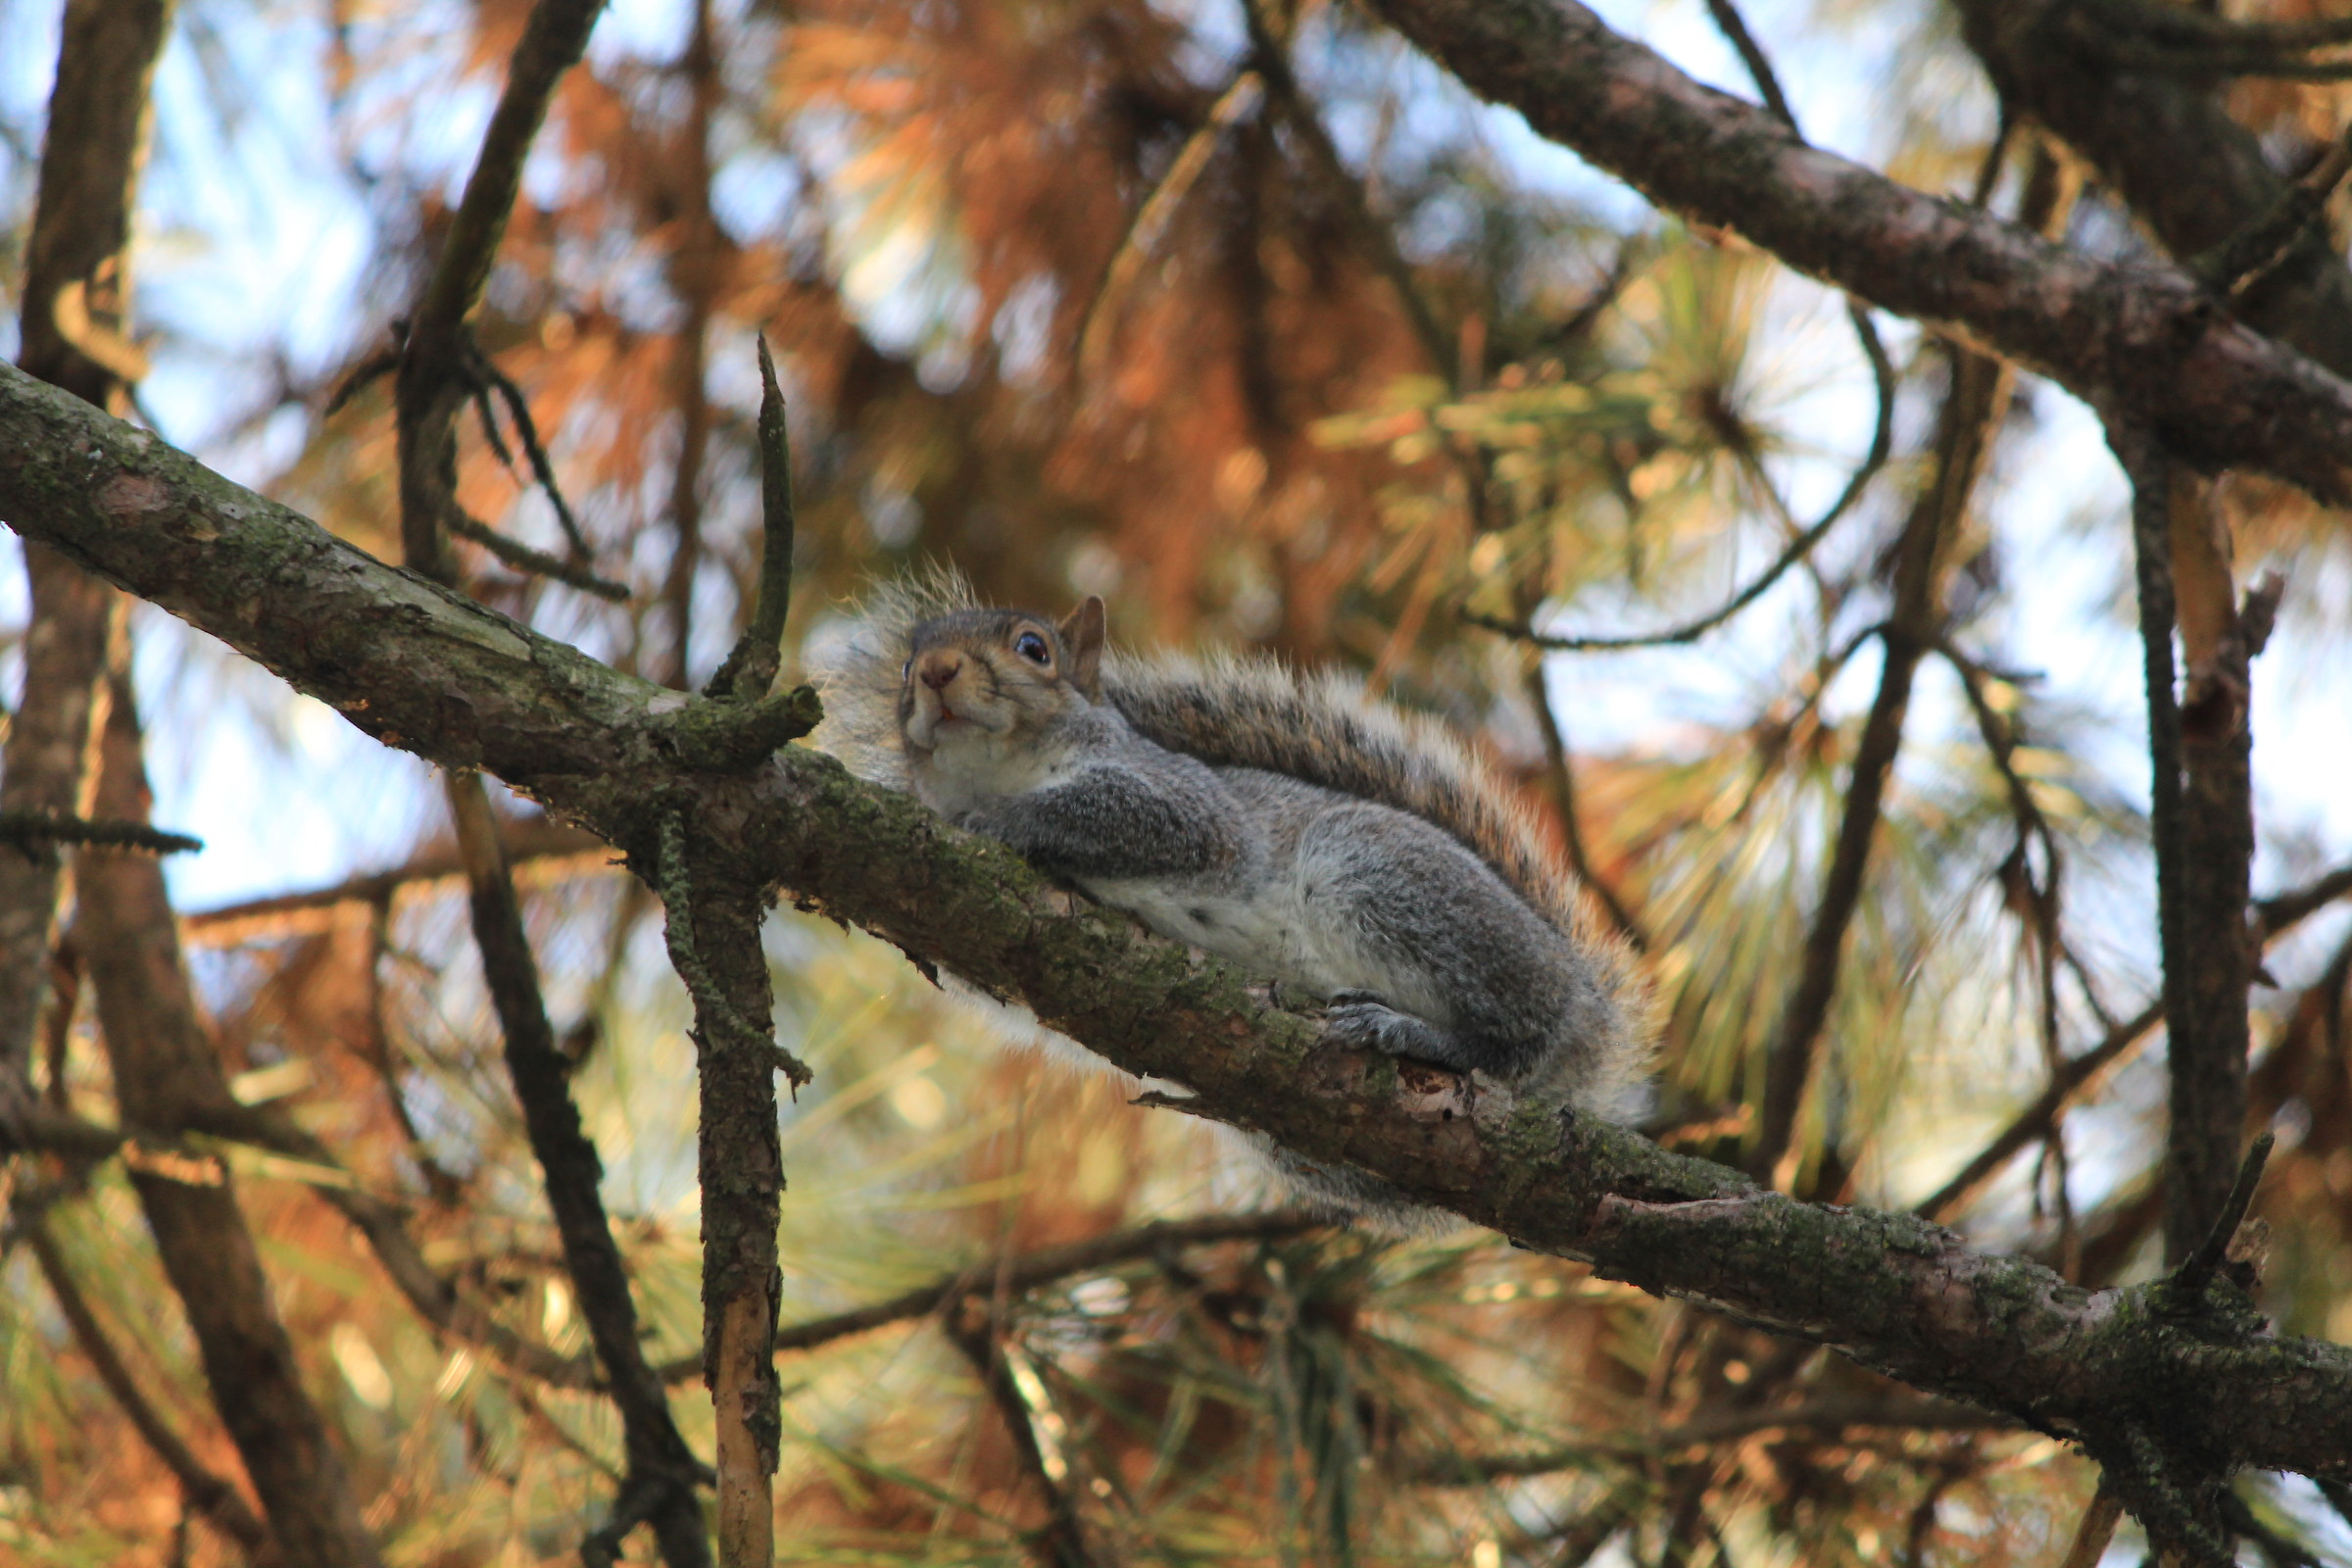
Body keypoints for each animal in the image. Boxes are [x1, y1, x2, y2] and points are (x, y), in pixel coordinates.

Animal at [810, 571, 1654, 1224]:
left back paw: (1410, 1030)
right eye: (904, 668)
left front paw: (1007, 821)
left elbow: (1131, 820)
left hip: (1370, 870)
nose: (936, 672)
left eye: (1033, 649)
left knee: (1512, 1042)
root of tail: (1586, 1016)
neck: (1000, 770)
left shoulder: (1189, 807)